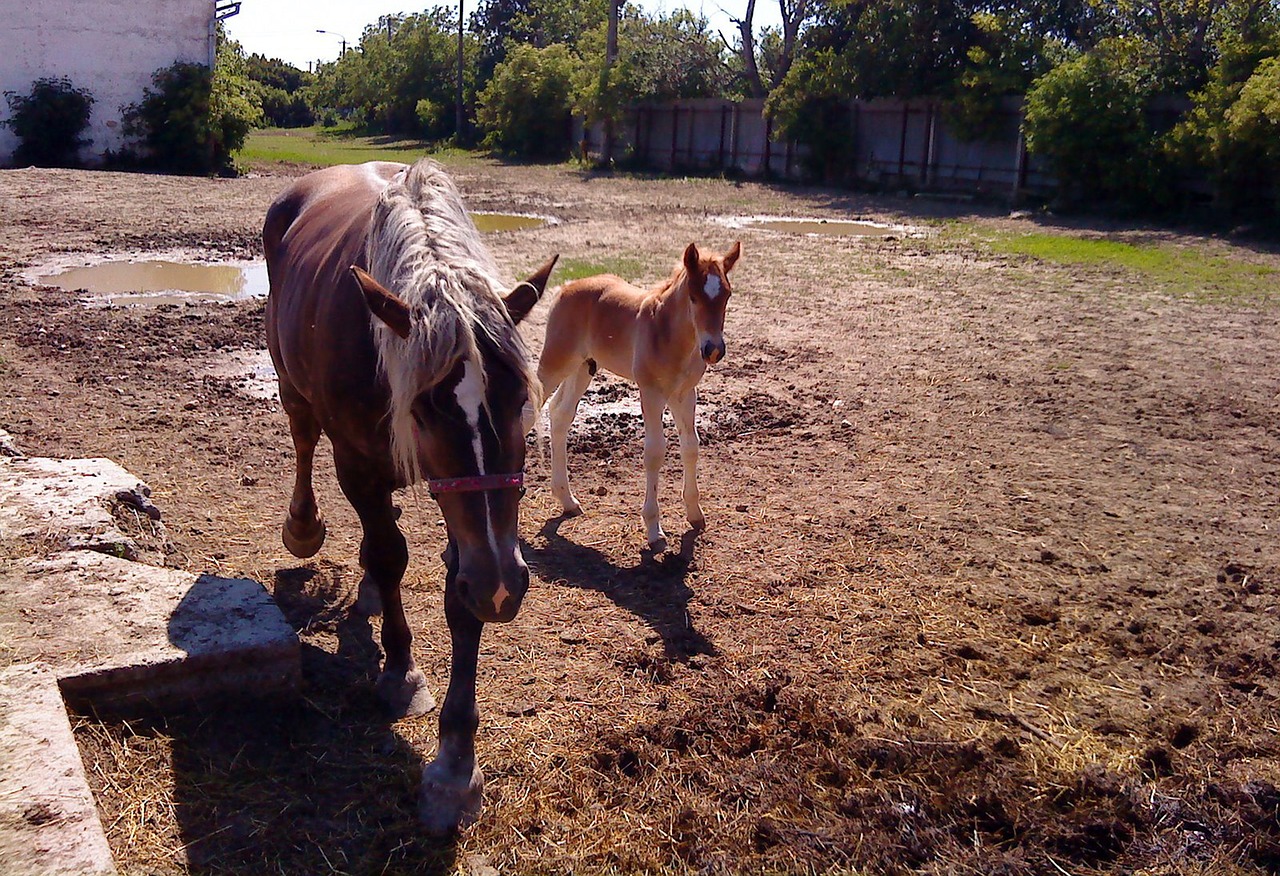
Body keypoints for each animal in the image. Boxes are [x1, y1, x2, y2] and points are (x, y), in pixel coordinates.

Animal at [263, 158, 555, 835]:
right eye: (423, 408)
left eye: (521, 400)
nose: (506, 586)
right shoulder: (358, 464)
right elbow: (391, 554)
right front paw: (400, 670)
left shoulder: (476, 530)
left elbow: (460, 595)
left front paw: (454, 764)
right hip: (291, 386)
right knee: (303, 440)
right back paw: (304, 527)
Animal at [537, 235, 742, 543]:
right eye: (693, 297)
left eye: (727, 296)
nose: (713, 350)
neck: (668, 335)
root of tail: (566, 288)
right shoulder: (651, 393)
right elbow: (654, 452)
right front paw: (654, 527)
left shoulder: (684, 394)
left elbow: (691, 446)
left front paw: (695, 515)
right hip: (555, 362)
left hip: (583, 368)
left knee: (560, 414)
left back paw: (567, 500)